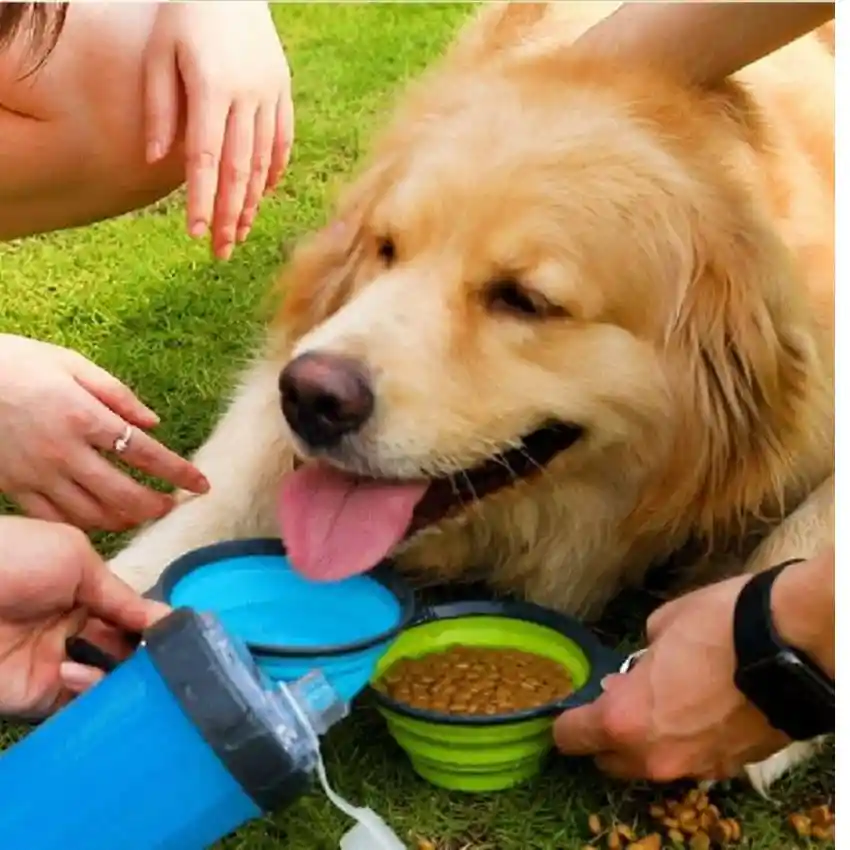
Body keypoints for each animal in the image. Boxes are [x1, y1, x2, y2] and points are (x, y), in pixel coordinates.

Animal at [109, 3, 832, 792]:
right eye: (386, 249)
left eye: (523, 299)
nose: (311, 397)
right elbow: (229, 478)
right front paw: (112, 585)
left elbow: (811, 530)